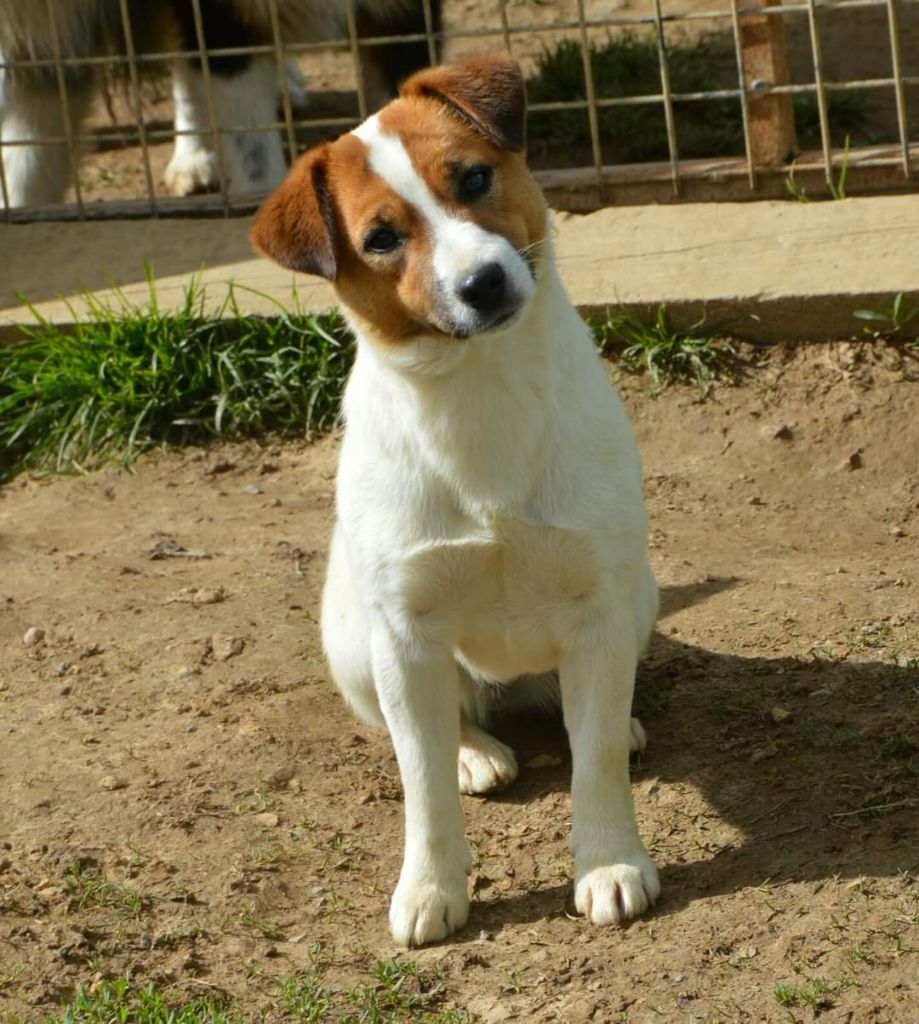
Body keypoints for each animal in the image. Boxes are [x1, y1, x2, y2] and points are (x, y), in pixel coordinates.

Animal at [247, 56, 655, 946]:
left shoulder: (598, 603)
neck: (480, 399)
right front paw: (430, 889)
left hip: (635, 601)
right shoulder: (405, 633)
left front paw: (608, 863)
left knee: (588, 711)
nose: (483, 282)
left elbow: (596, 760)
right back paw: (476, 748)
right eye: (380, 238)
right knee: (434, 730)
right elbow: (422, 787)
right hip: (356, 645)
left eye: (472, 177)